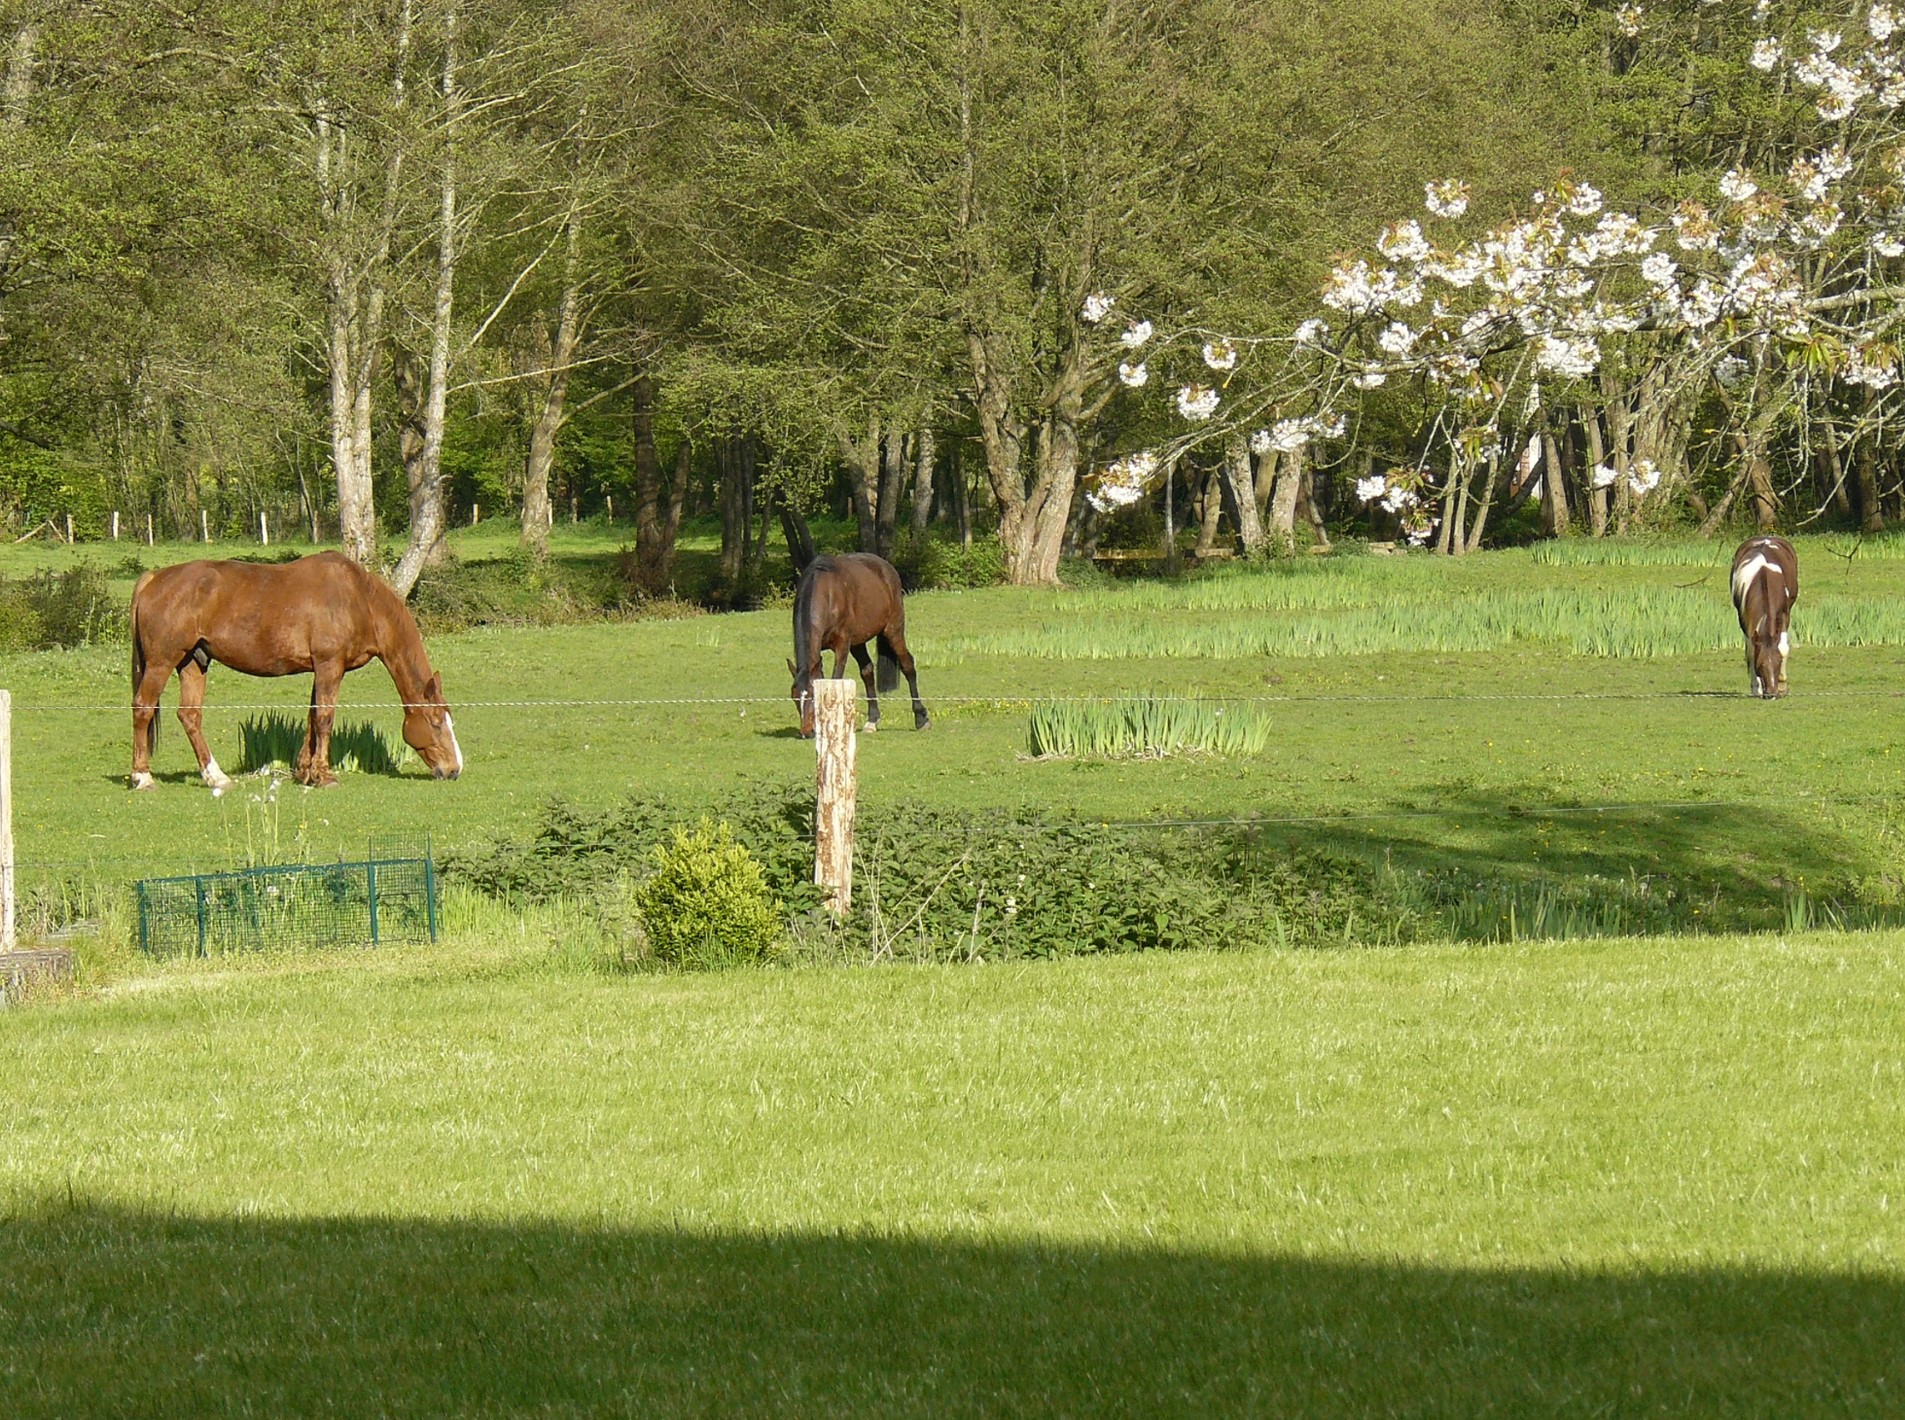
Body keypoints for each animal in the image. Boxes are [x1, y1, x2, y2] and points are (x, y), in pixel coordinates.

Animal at [128, 552, 462, 792]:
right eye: (435, 723)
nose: (454, 769)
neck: (359, 599)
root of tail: (154, 578)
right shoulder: (329, 666)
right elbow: (325, 719)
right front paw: (325, 776)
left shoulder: (322, 669)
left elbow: (313, 718)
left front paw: (305, 772)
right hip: (162, 663)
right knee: (143, 708)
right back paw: (143, 777)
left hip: (193, 662)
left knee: (190, 716)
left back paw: (216, 777)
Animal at [784, 548, 925, 735]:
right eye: (794, 696)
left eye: (813, 696)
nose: (807, 731)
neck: (827, 593)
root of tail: (886, 567)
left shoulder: (842, 644)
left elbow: (835, 681)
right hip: (858, 643)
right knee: (867, 671)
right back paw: (872, 721)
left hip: (893, 630)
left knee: (908, 665)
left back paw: (921, 719)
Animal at [1729, 533, 1798, 697]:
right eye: (1759, 665)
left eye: (1778, 662)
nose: (1771, 694)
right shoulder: (1744, 620)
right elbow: (1750, 652)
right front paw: (1756, 688)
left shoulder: (1784, 615)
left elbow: (1783, 647)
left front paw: (1782, 686)